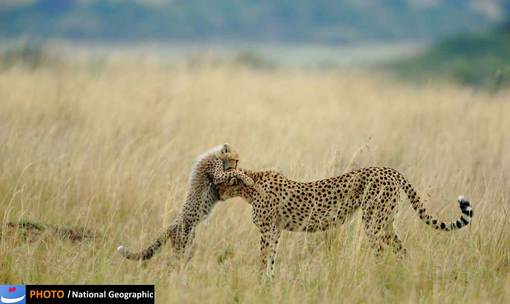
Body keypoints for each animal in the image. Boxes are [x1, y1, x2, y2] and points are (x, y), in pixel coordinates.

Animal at [216, 166, 474, 278]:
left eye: (218, 182)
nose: (215, 193)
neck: (249, 184)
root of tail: (391, 170)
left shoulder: (268, 230)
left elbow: (263, 258)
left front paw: (261, 282)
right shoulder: (276, 231)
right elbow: (270, 259)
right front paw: (268, 282)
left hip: (372, 222)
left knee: (381, 251)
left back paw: (378, 279)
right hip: (386, 223)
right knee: (401, 251)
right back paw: (402, 277)